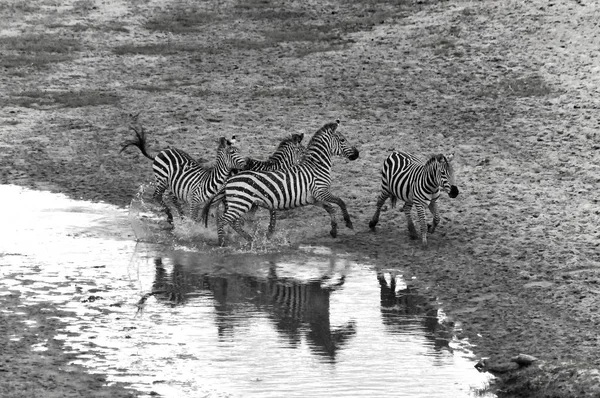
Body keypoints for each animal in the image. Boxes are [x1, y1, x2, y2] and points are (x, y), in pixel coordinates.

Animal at [202, 119, 360, 247]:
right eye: (342, 140)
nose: (357, 154)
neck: (316, 167)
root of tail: (229, 180)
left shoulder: (313, 198)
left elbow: (331, 208)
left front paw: (334, 230)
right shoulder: (321, 192)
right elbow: (340, 202)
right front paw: (348, 223)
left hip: (242, 203)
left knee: (232, 221)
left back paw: (248, 239)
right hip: (241, 203)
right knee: (224, 219)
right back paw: (224, 242)